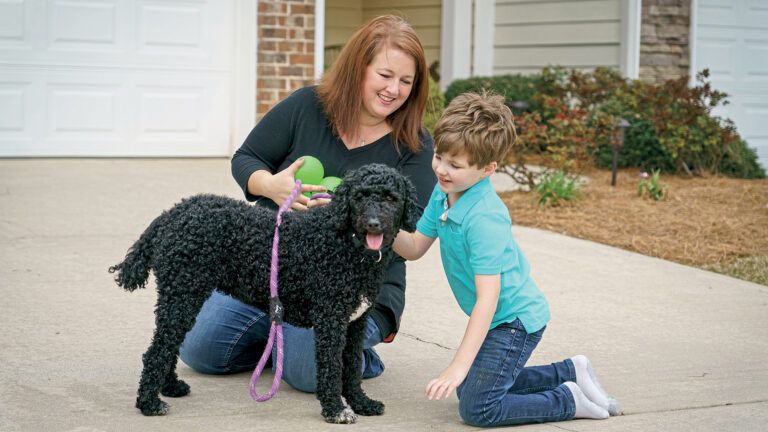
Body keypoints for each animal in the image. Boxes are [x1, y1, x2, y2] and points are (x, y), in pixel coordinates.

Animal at [108, 164, 416, 424]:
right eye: (360, 196)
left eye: (391, 197)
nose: (374, 223)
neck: (346, 244)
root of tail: (171, 214)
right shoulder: (331, 320)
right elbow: (331, 367)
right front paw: (335, 410)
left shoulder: (356, 323)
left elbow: (351, 368)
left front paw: (361, 403)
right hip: (182, 296)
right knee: (157, 350)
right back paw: (149, 402)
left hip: (184, 297)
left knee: (168, 345)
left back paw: (170, 387)